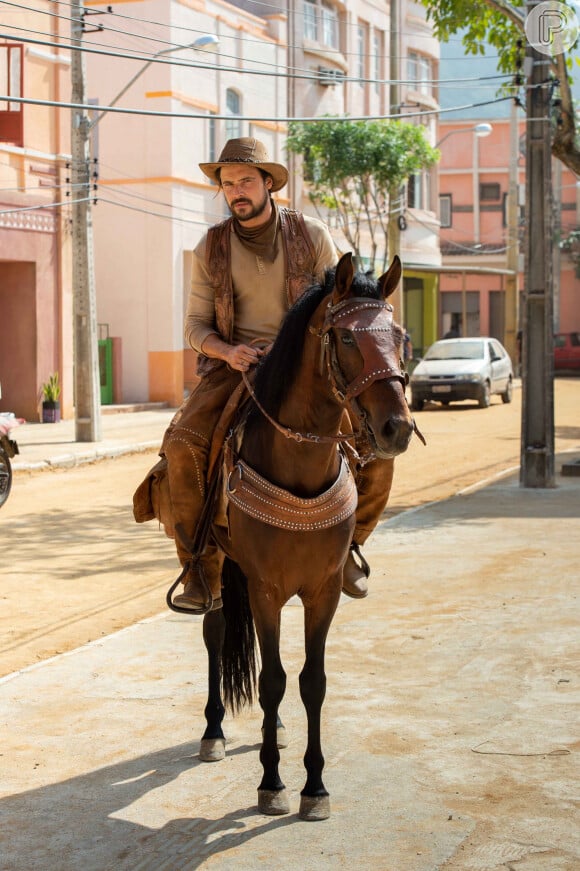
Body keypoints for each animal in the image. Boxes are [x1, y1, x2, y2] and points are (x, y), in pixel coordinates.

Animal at [184, 254, 414, 824]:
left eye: (398, 335)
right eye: (347, 338)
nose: (397, 428)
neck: (299, 463)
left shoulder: (323, 589)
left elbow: (312, 681)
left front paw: (315, 786)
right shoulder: (265, 588)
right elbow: (271, 680)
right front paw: (271, 783)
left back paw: (280, 730)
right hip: (218, 563)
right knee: (216, 631)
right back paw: (213, 732)